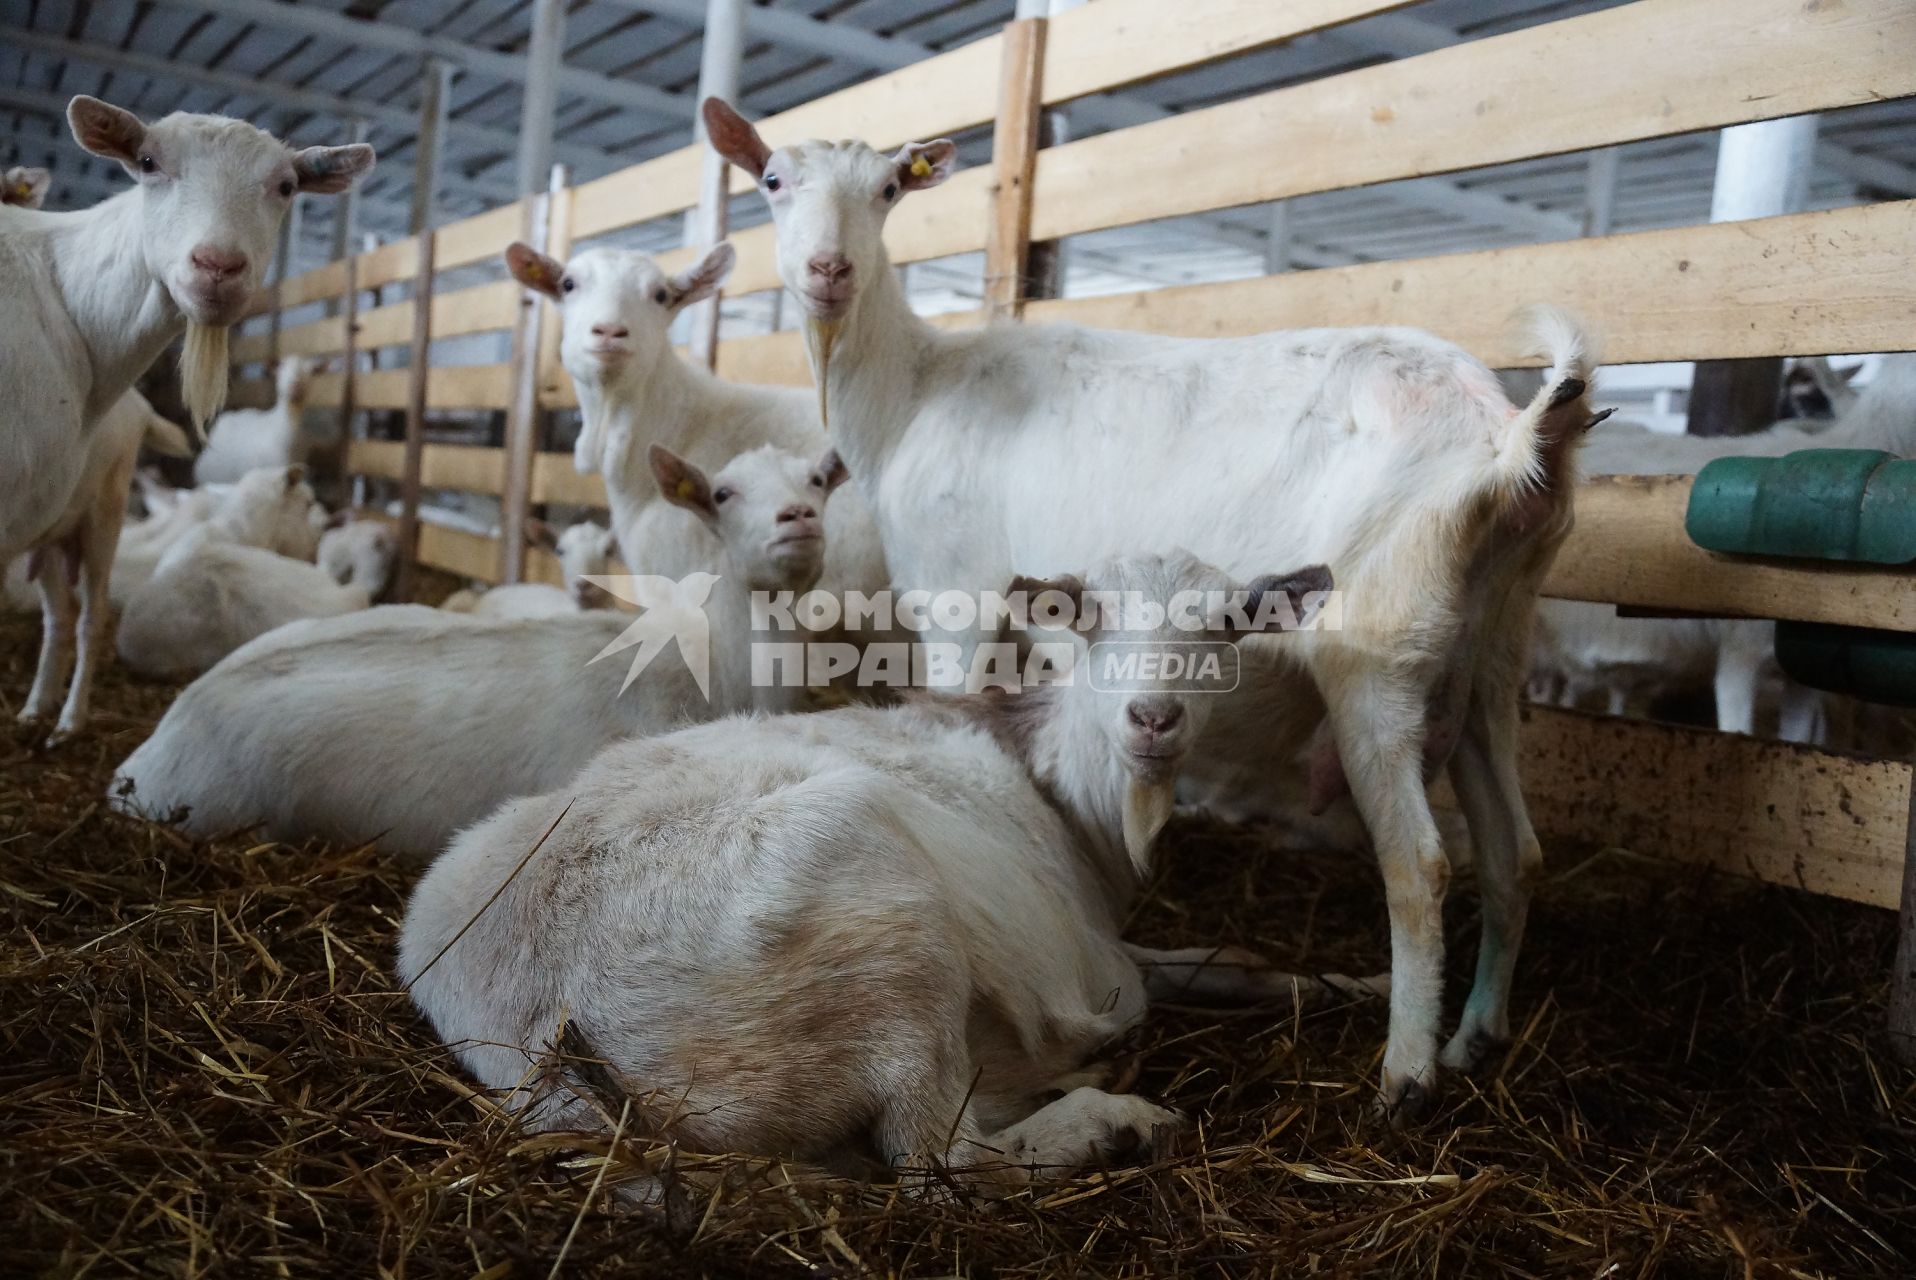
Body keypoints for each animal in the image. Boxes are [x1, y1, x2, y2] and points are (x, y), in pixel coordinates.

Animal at [396, 551, 1371, 1180]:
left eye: (1228, 626)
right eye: (1088, 622)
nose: (1154, 718)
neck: (1059, 787)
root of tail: (539, 1014)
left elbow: (1233, 961)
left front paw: (1360, 986)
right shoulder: (1098, 962)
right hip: (890, 935)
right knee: (941, 1157)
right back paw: (1112, 1120)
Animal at [705, 102, 1601, 1119]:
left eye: (890, 189)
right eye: (773, 181)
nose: (829, 272)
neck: (910, 396)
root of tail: (1506, 438)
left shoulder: (955, 591)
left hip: (1379, 646)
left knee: (1420, 863)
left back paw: (1406, 1073)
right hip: (1495, 642)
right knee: (1515, 851)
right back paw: (1477, 1036)